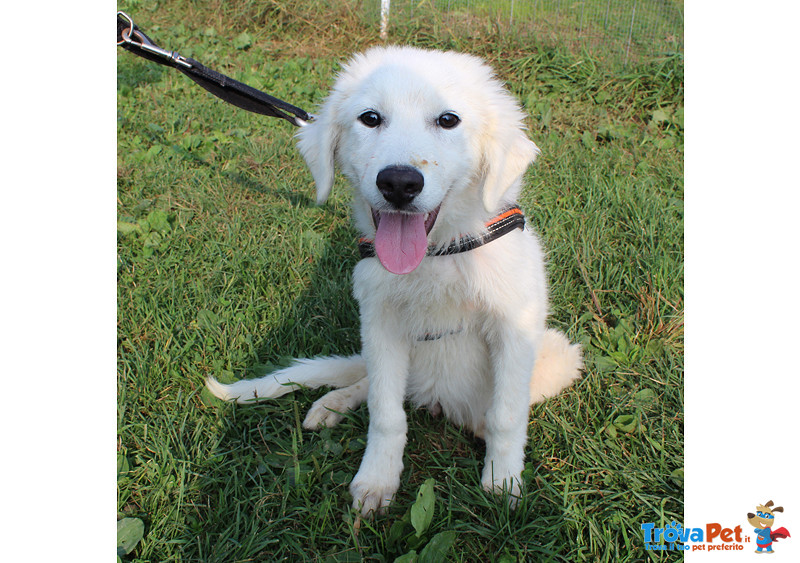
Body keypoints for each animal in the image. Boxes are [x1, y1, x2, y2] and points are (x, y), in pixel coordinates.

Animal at [206, 46, 580, 516]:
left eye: (448, 120)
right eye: (370, 118)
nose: (399, 182)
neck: (438, 255)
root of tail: (437, 398)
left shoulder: (515, 327)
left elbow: (507, 415)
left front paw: (501, 482)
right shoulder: (380, 325)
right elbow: (386, 414)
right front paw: (376, 481)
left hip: (559, 354)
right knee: (370, 382)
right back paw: (333, 403)